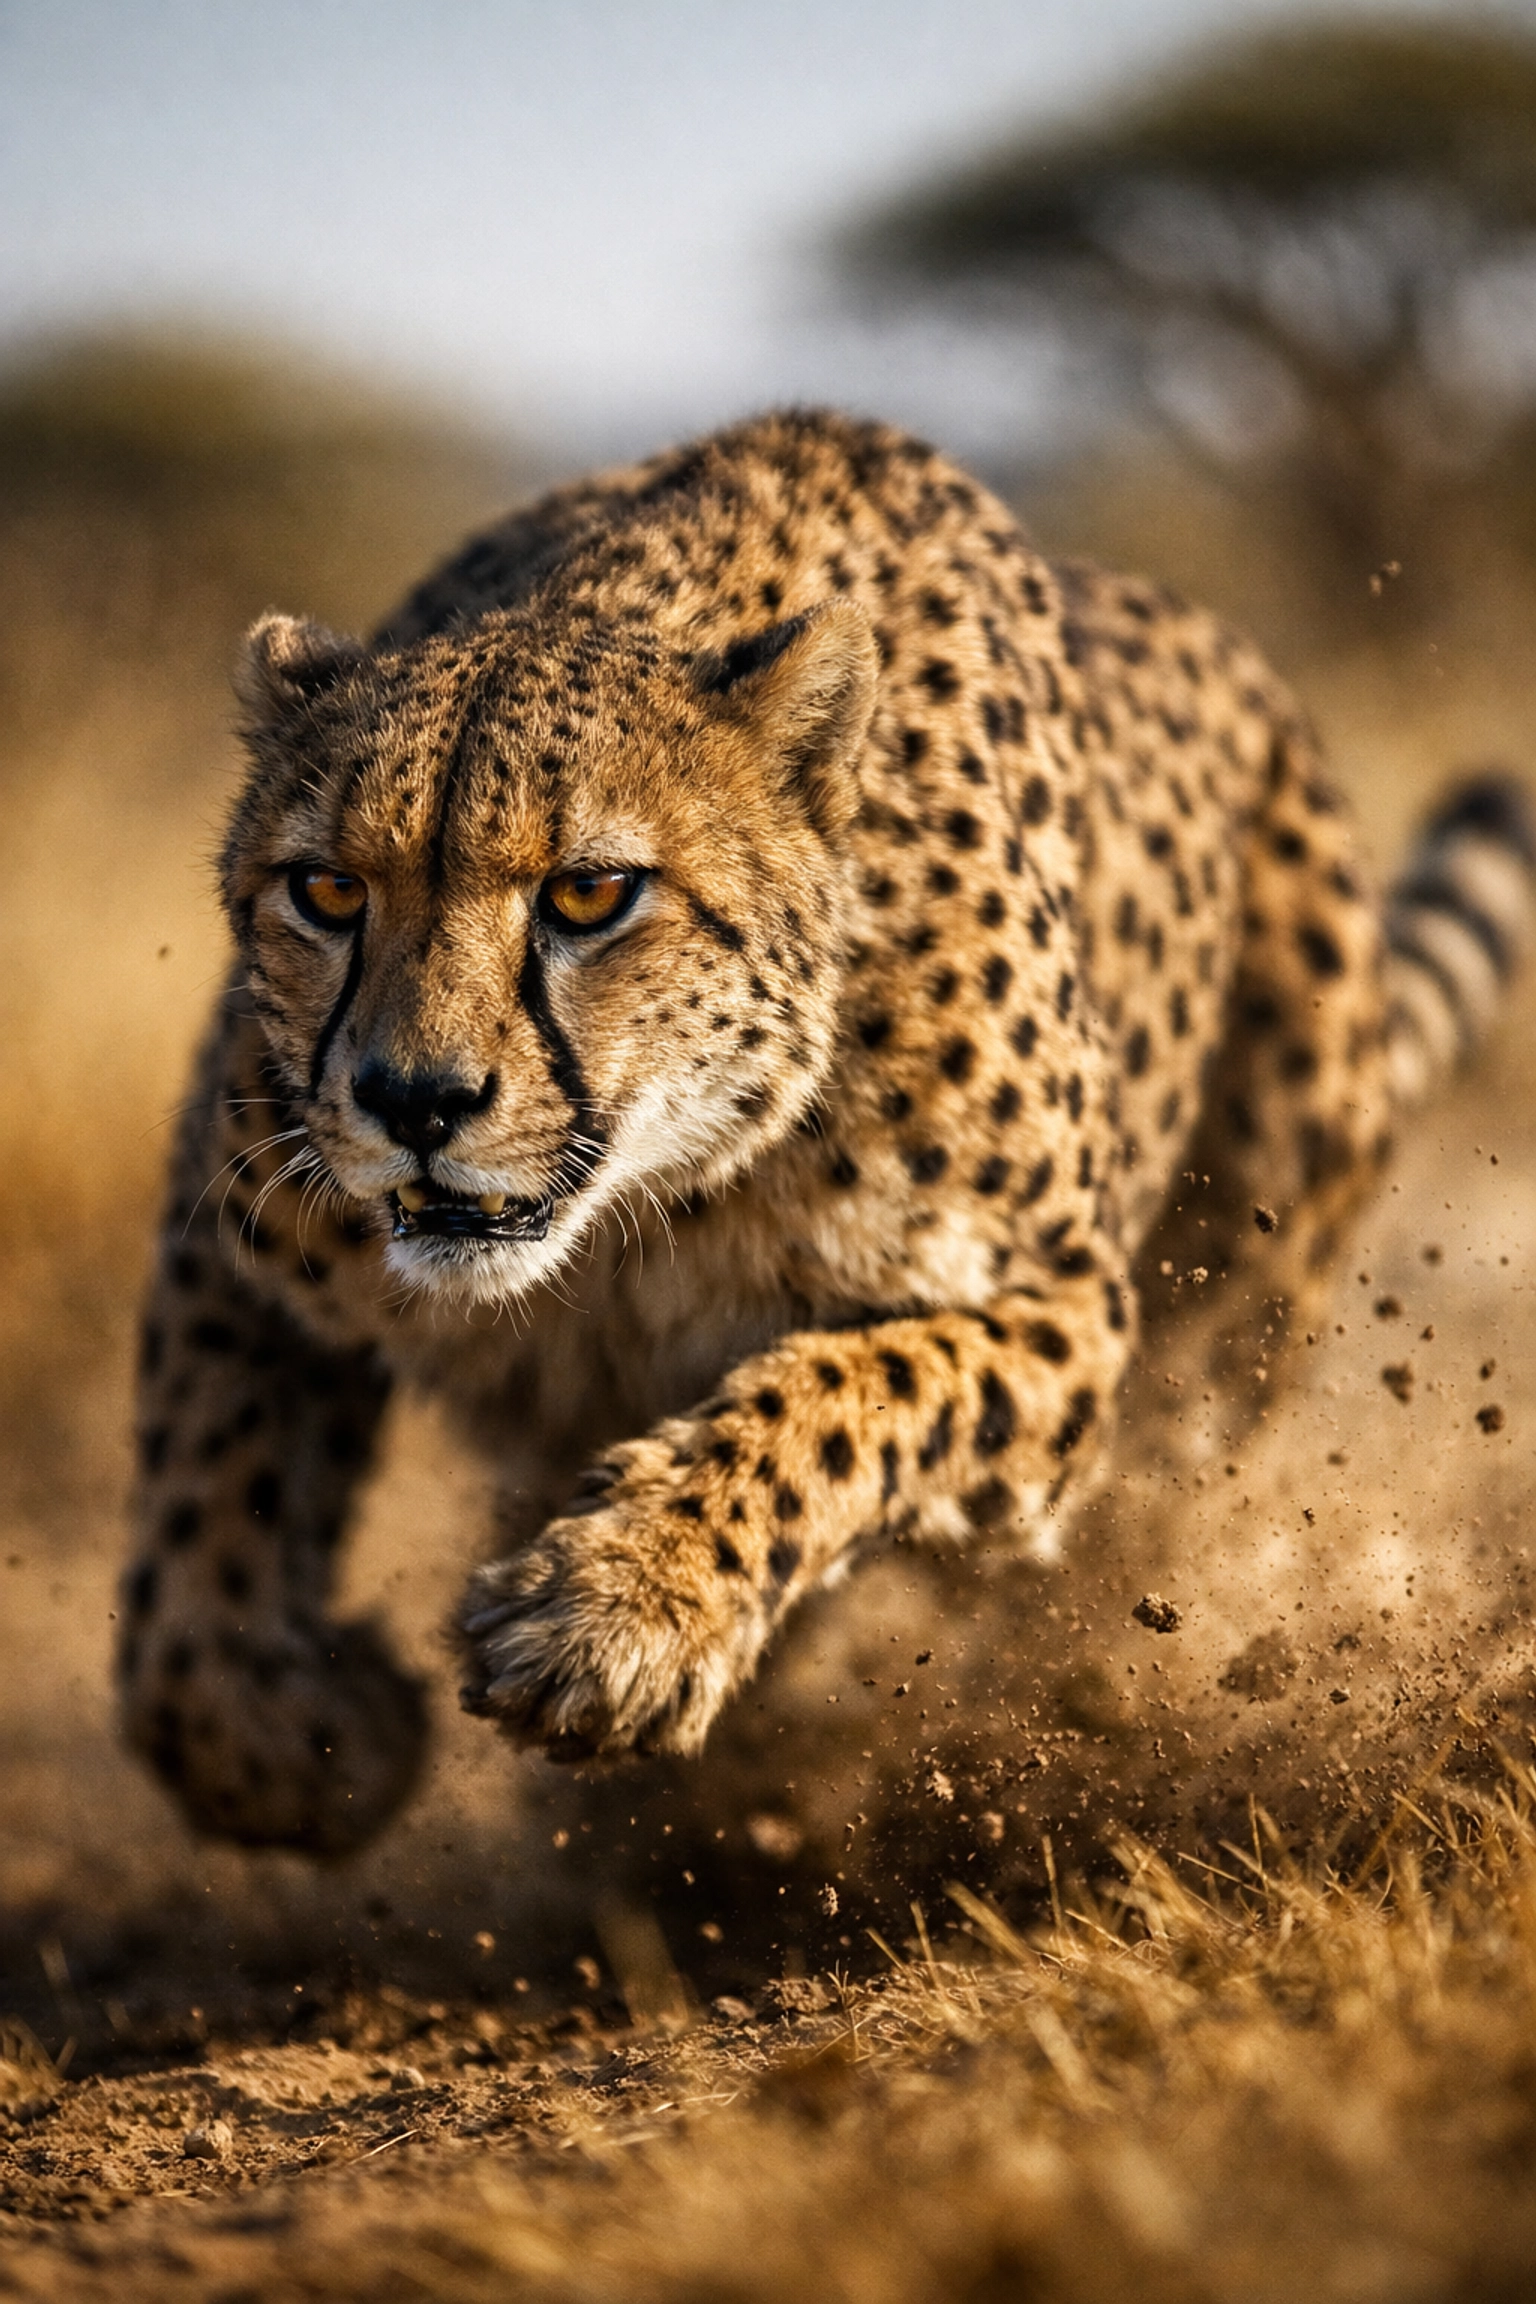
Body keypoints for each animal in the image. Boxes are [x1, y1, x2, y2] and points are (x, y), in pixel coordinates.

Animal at [117, 407, 1535, 1855]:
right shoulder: (241, 1220)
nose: (414, 1101)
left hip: (1235, 1306)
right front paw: (294, 1735)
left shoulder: (1068, 1314)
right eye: (328, 889)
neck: (646, 1206)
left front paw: (625, 1606)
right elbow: (197, 1522)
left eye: (590, 893)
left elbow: (852, 1391)